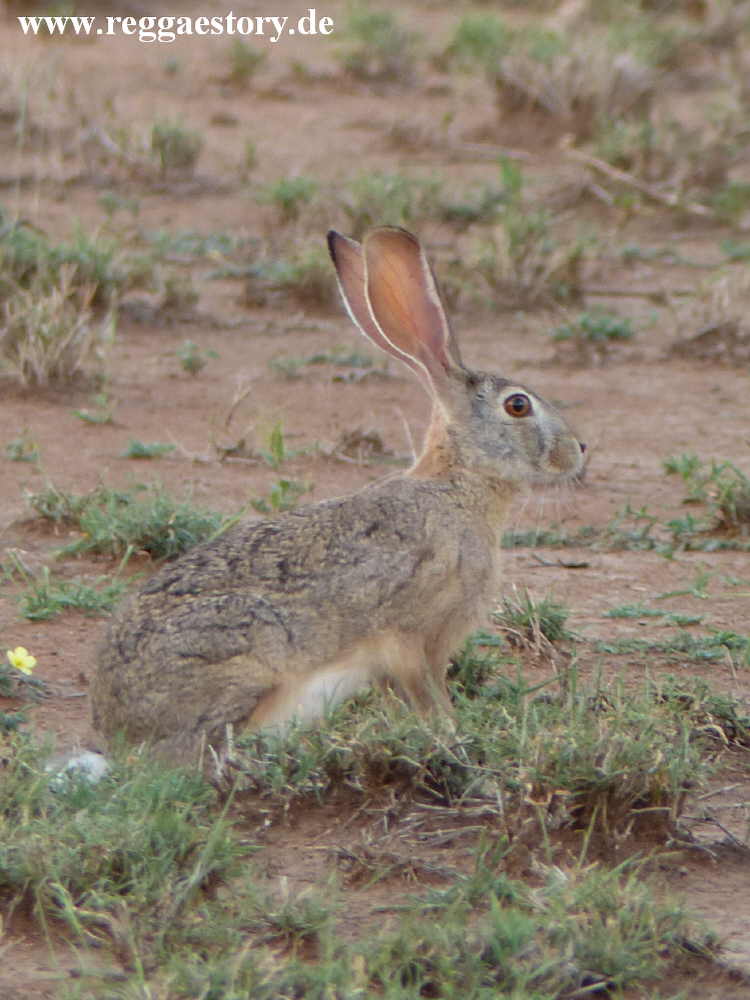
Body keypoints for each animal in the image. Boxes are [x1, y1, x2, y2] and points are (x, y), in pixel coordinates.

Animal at [91, 227, 586, 765]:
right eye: (518, 406)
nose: (580, 449)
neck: (457, 480)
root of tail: (119, 731)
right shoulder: (411, 637)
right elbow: (429, 696)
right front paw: (453, 736)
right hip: (250, 651)